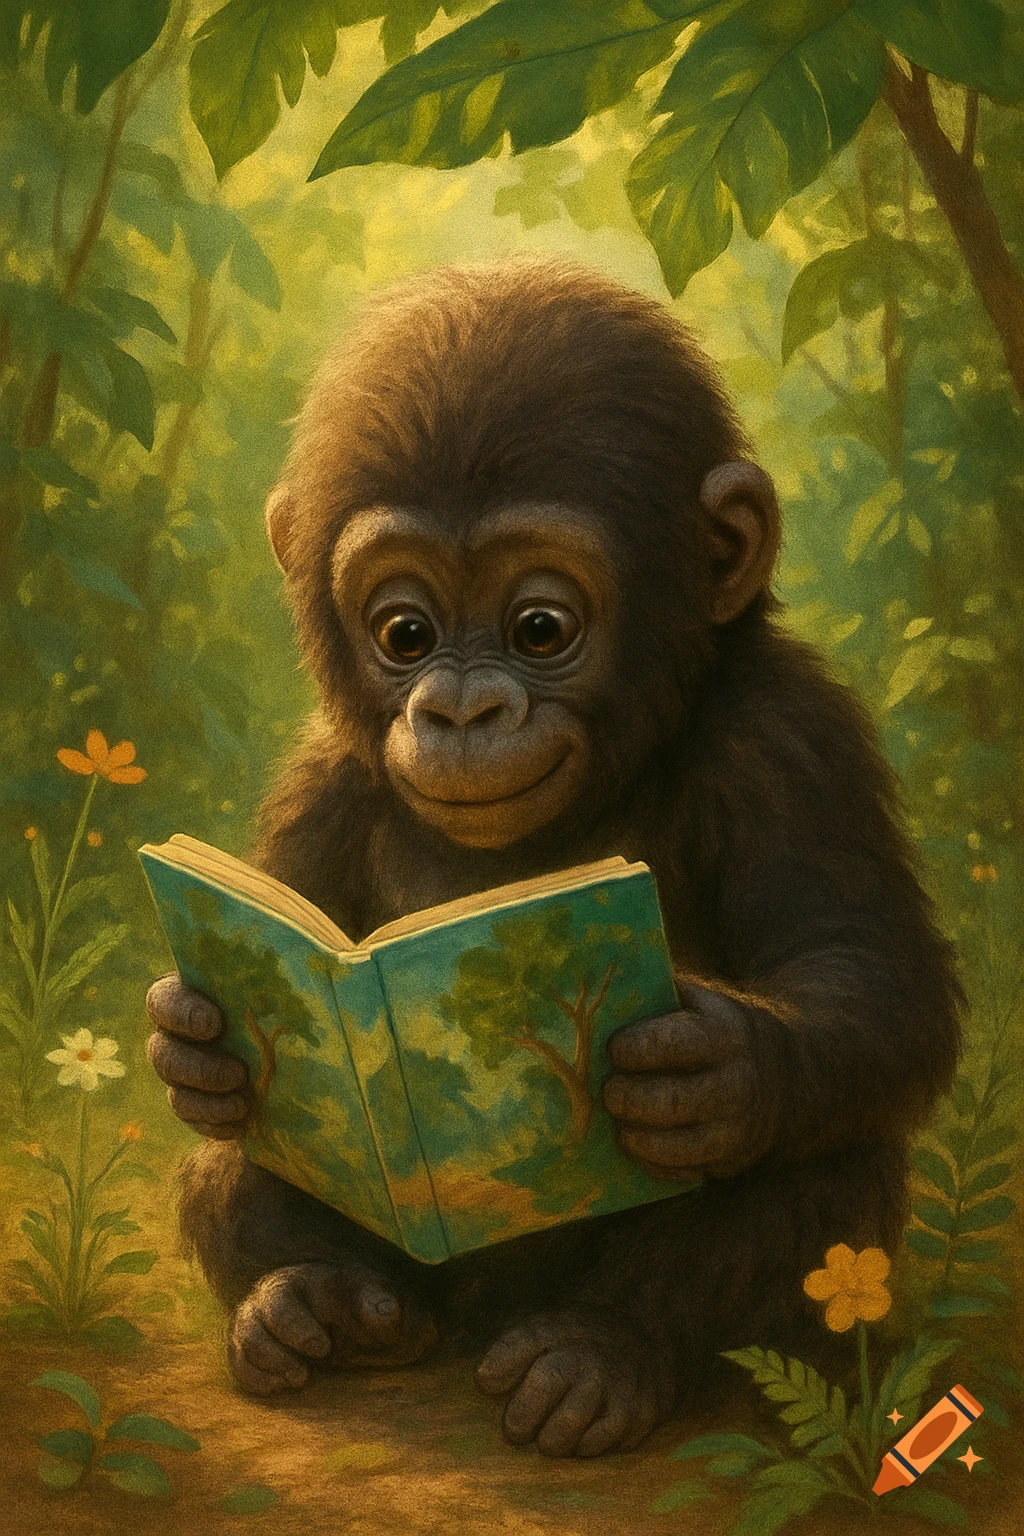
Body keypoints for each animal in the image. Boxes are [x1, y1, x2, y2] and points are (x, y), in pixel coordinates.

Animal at [146, 258, 960, 1458]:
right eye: (404, 634)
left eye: (539, 626)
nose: (462, 709)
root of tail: (478, 1316)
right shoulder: (319, 777)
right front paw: (193, 1040)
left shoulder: (792, 740)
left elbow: (864, 970)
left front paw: (711, 1066)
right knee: (241, 1158)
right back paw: (314, 1302)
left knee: (824, 1154)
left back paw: (599, 1354)